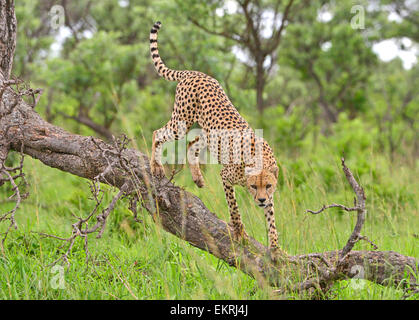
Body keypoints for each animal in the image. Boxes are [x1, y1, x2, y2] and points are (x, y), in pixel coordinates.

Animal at [149, 21, 284, 252]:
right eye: (253, 186)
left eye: (267, 186)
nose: (260, 200)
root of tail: (195, 73)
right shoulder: (226, 177)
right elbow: (234, 207)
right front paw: (239, 231)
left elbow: (271, 218)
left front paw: (275, 246)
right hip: (182, 121)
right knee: (158, 132)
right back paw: (156, 166)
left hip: (208, 132)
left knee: (192, 144)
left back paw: (197, 177)